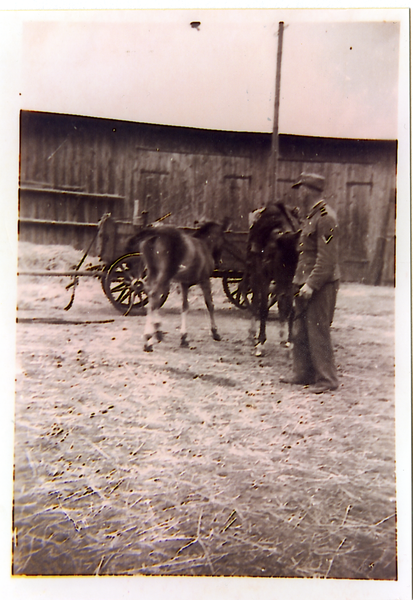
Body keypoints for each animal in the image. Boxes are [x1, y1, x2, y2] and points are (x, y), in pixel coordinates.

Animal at [128, 220, 229, 352]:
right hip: (165, 273)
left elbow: (185, 306)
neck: (204, 246)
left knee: (151, 294)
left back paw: (156, 330)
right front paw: (215, 332)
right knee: (154, 295)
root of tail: (157, 231)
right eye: (223, 238)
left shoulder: (184, 283)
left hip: (153, 271)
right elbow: (210, 305)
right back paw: (149, 338)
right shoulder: (205, 280)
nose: (219, 262)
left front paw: (184, 338)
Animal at [245, 200, 300, 356]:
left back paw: (282, 337)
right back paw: (251, 335)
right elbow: (263, 307)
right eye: (281, 260)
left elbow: (290, 308)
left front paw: (290, 341)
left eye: (297, 259)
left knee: (282, 303)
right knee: (255, 301)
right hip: (254, 275)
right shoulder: (264, 277)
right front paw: (261, 343)